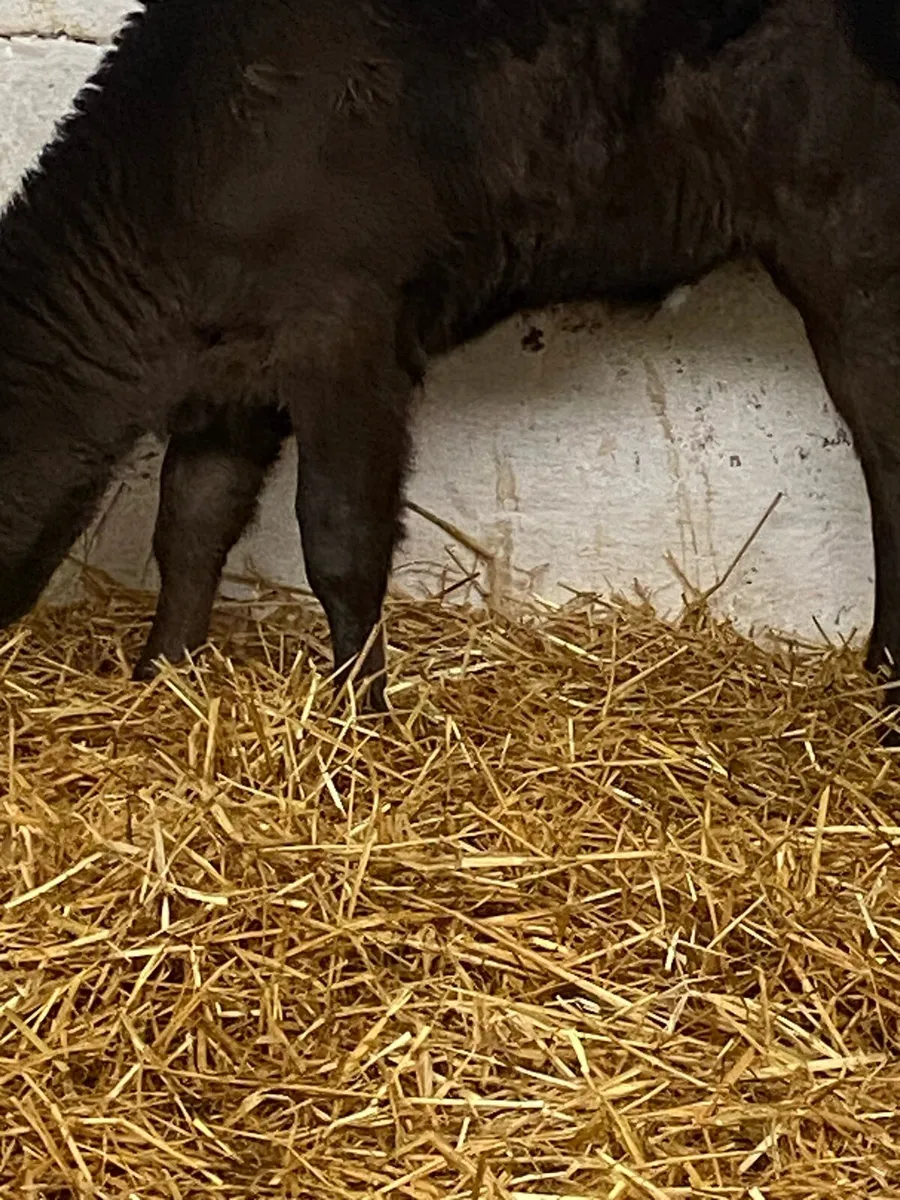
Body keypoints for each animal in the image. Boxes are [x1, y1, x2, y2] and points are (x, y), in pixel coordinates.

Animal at [0, 0, 898, 714]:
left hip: (855, 253)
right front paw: (161, 680)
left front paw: (358, 718)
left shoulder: (346, 334)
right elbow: (192, 523)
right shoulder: (233, 375)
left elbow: (340, 537)